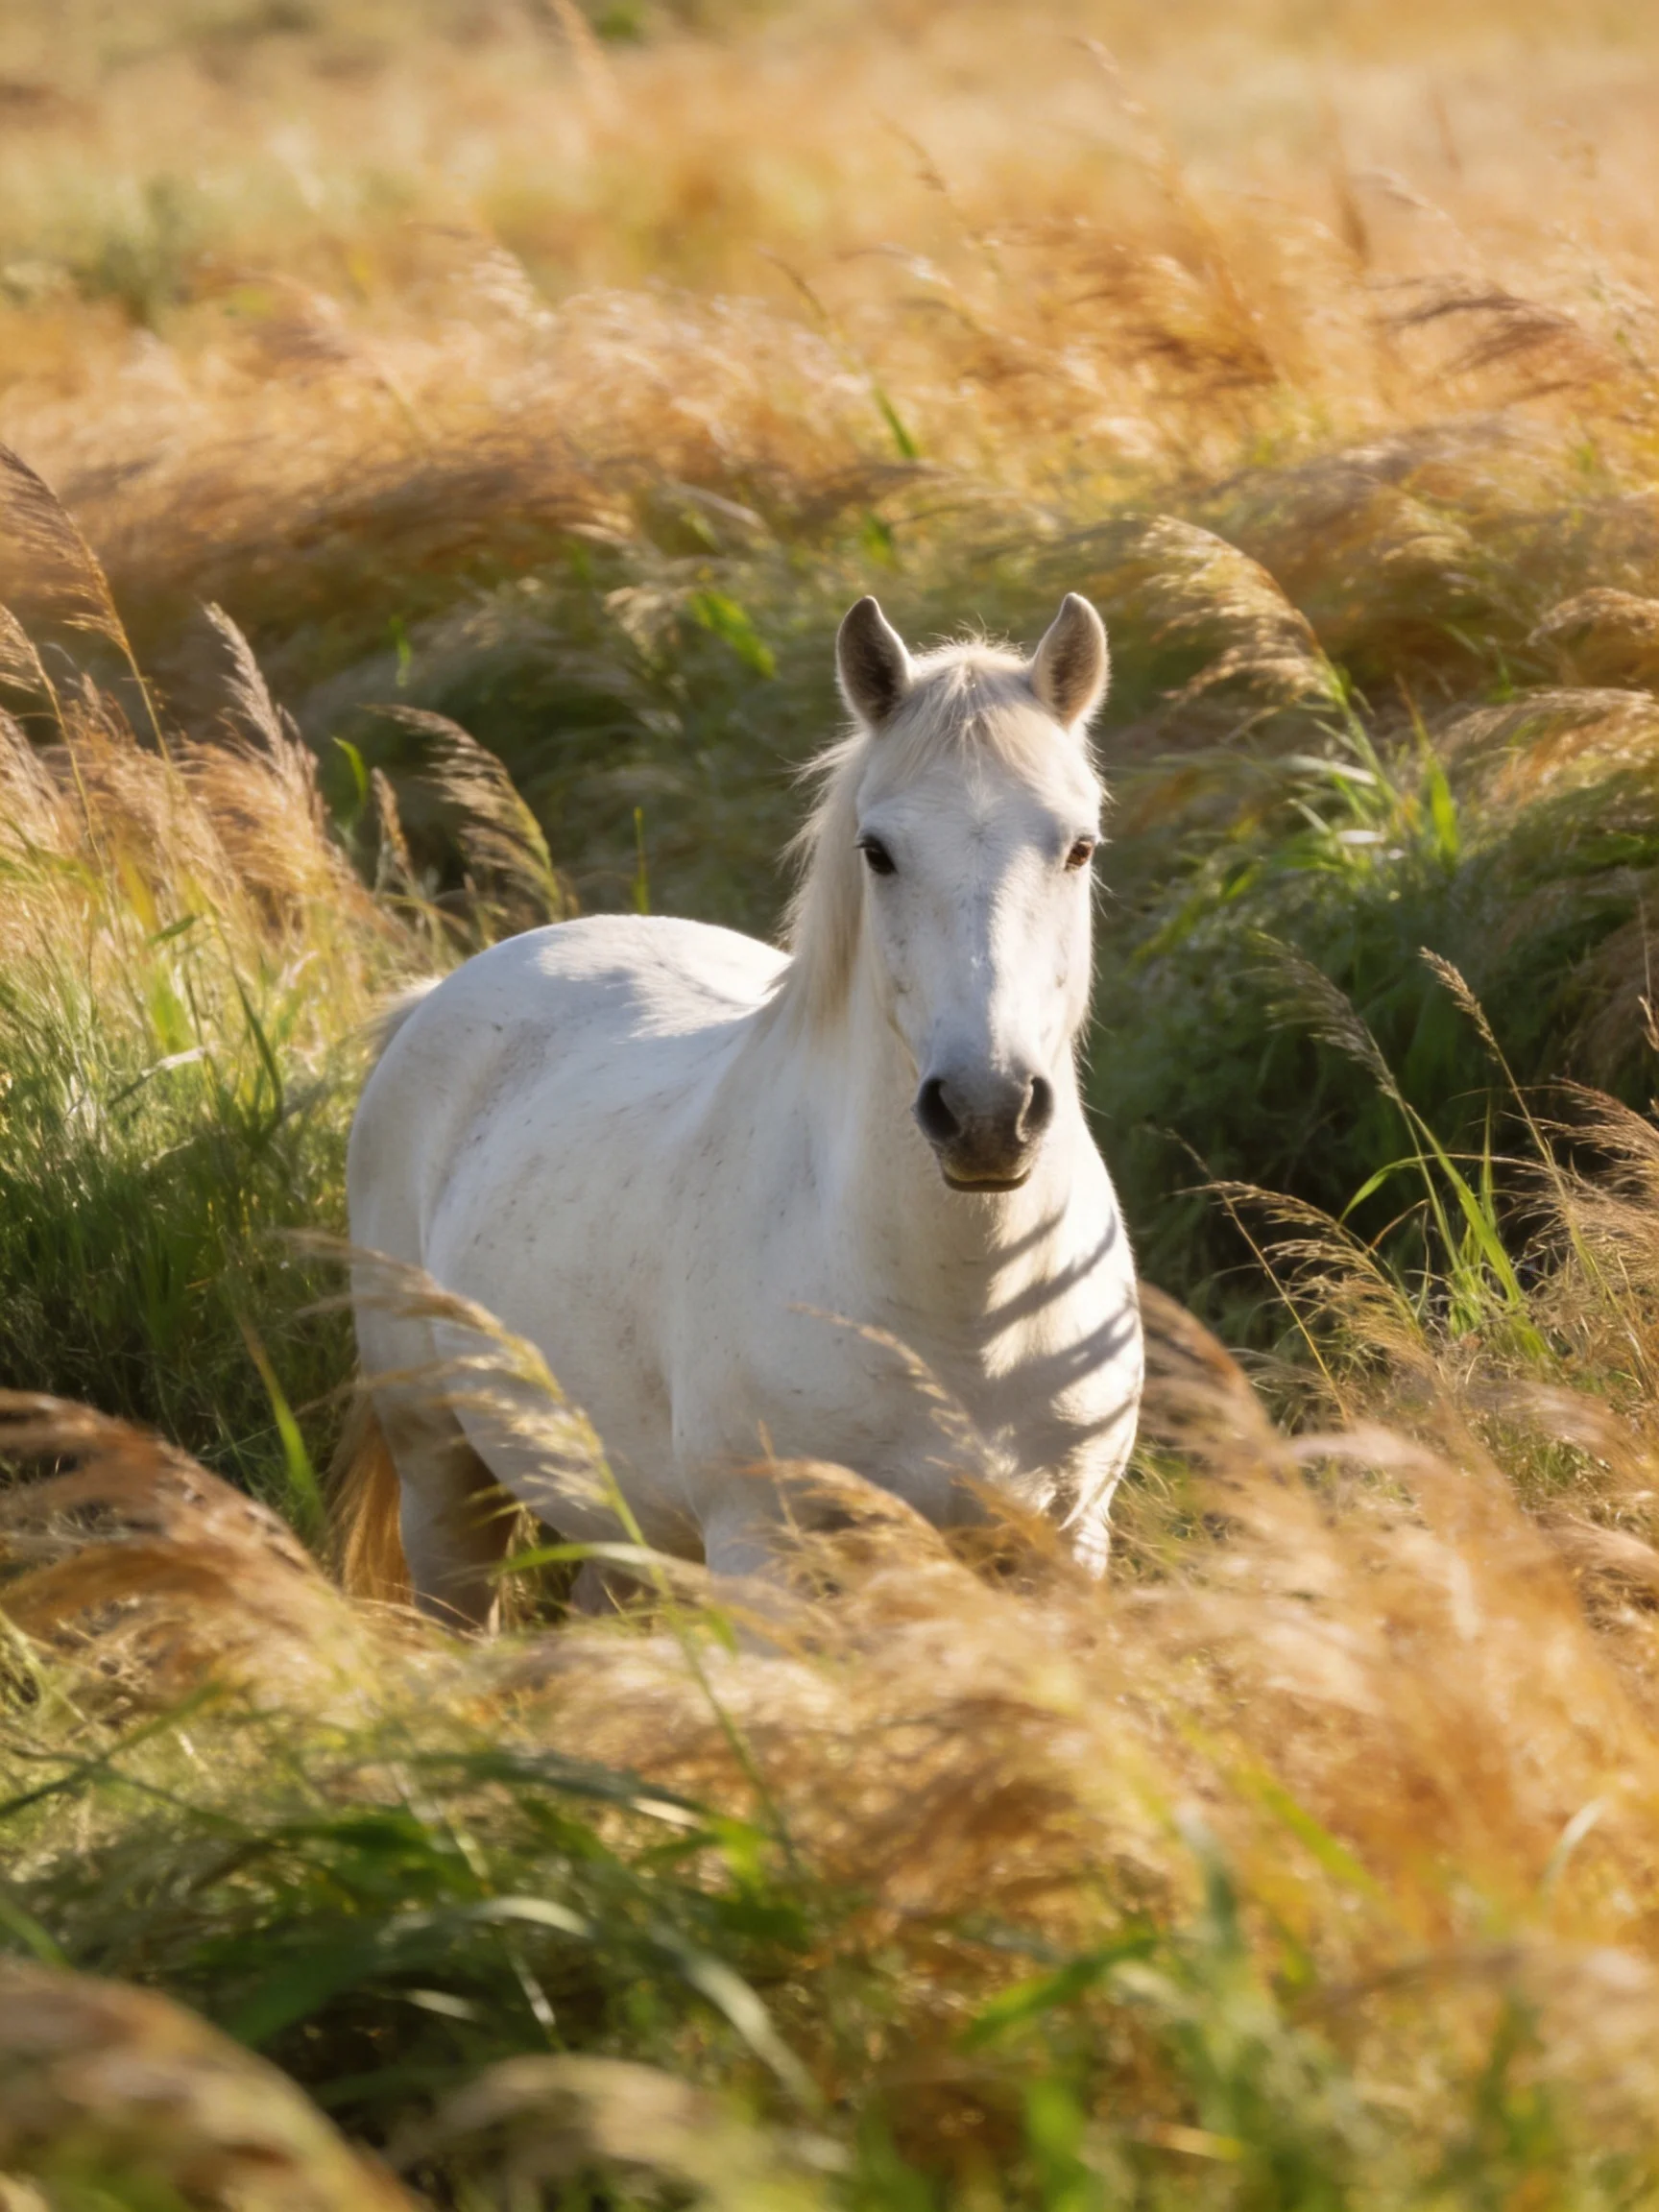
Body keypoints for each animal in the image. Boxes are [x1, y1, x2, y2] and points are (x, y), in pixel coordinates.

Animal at [338, 591, 1143, 1624]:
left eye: (1079, 847)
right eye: (878, 852)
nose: (985, 1111)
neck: (969, 1320)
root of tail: (440, 997)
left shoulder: (1066, 1546)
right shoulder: (766, 1558)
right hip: (444, 1474)